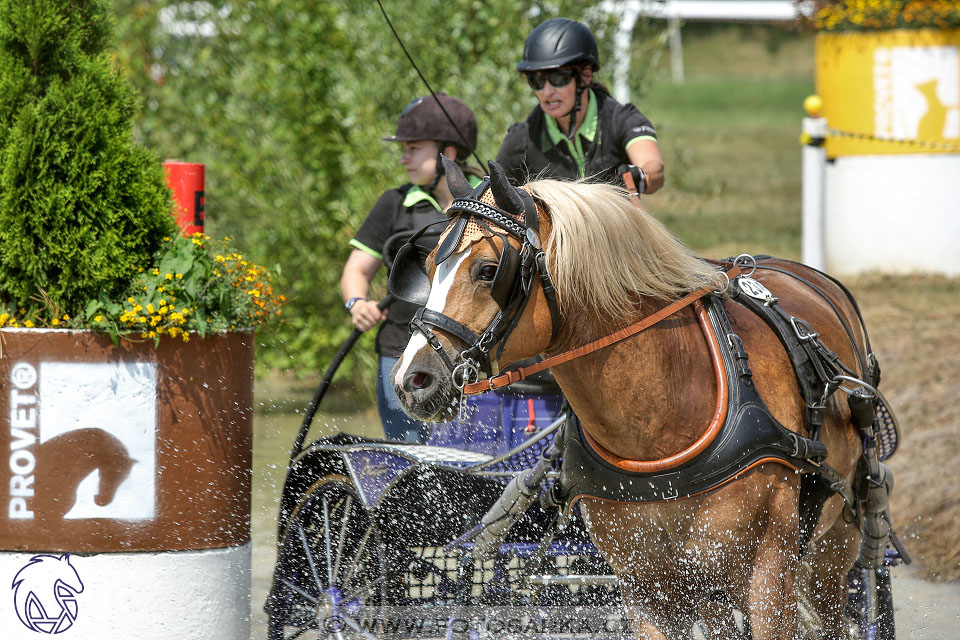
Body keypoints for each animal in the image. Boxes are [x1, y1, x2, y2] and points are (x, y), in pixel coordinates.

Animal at [392, 158, 876, 636]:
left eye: (489, 271)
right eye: (429, 266)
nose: (411, 379)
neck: (660, 420)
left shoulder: (768, 580)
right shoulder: (649, 589)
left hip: (831, 552)